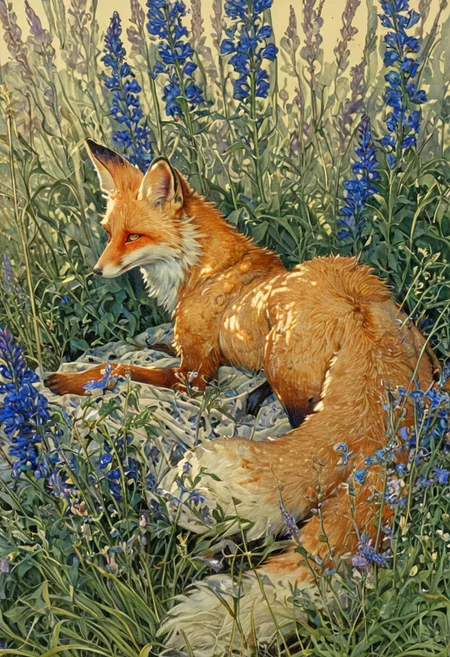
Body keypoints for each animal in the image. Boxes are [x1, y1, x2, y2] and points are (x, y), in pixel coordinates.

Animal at [45, 140, 441, 654]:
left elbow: (120, 368)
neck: (205, 270)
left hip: (280, 359)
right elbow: (153, 353)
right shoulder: (184, 360)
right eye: (111, 233)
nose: (97, 269)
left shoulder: (195, 377)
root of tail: (365, 309)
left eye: (133, 236)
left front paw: (68, 380)